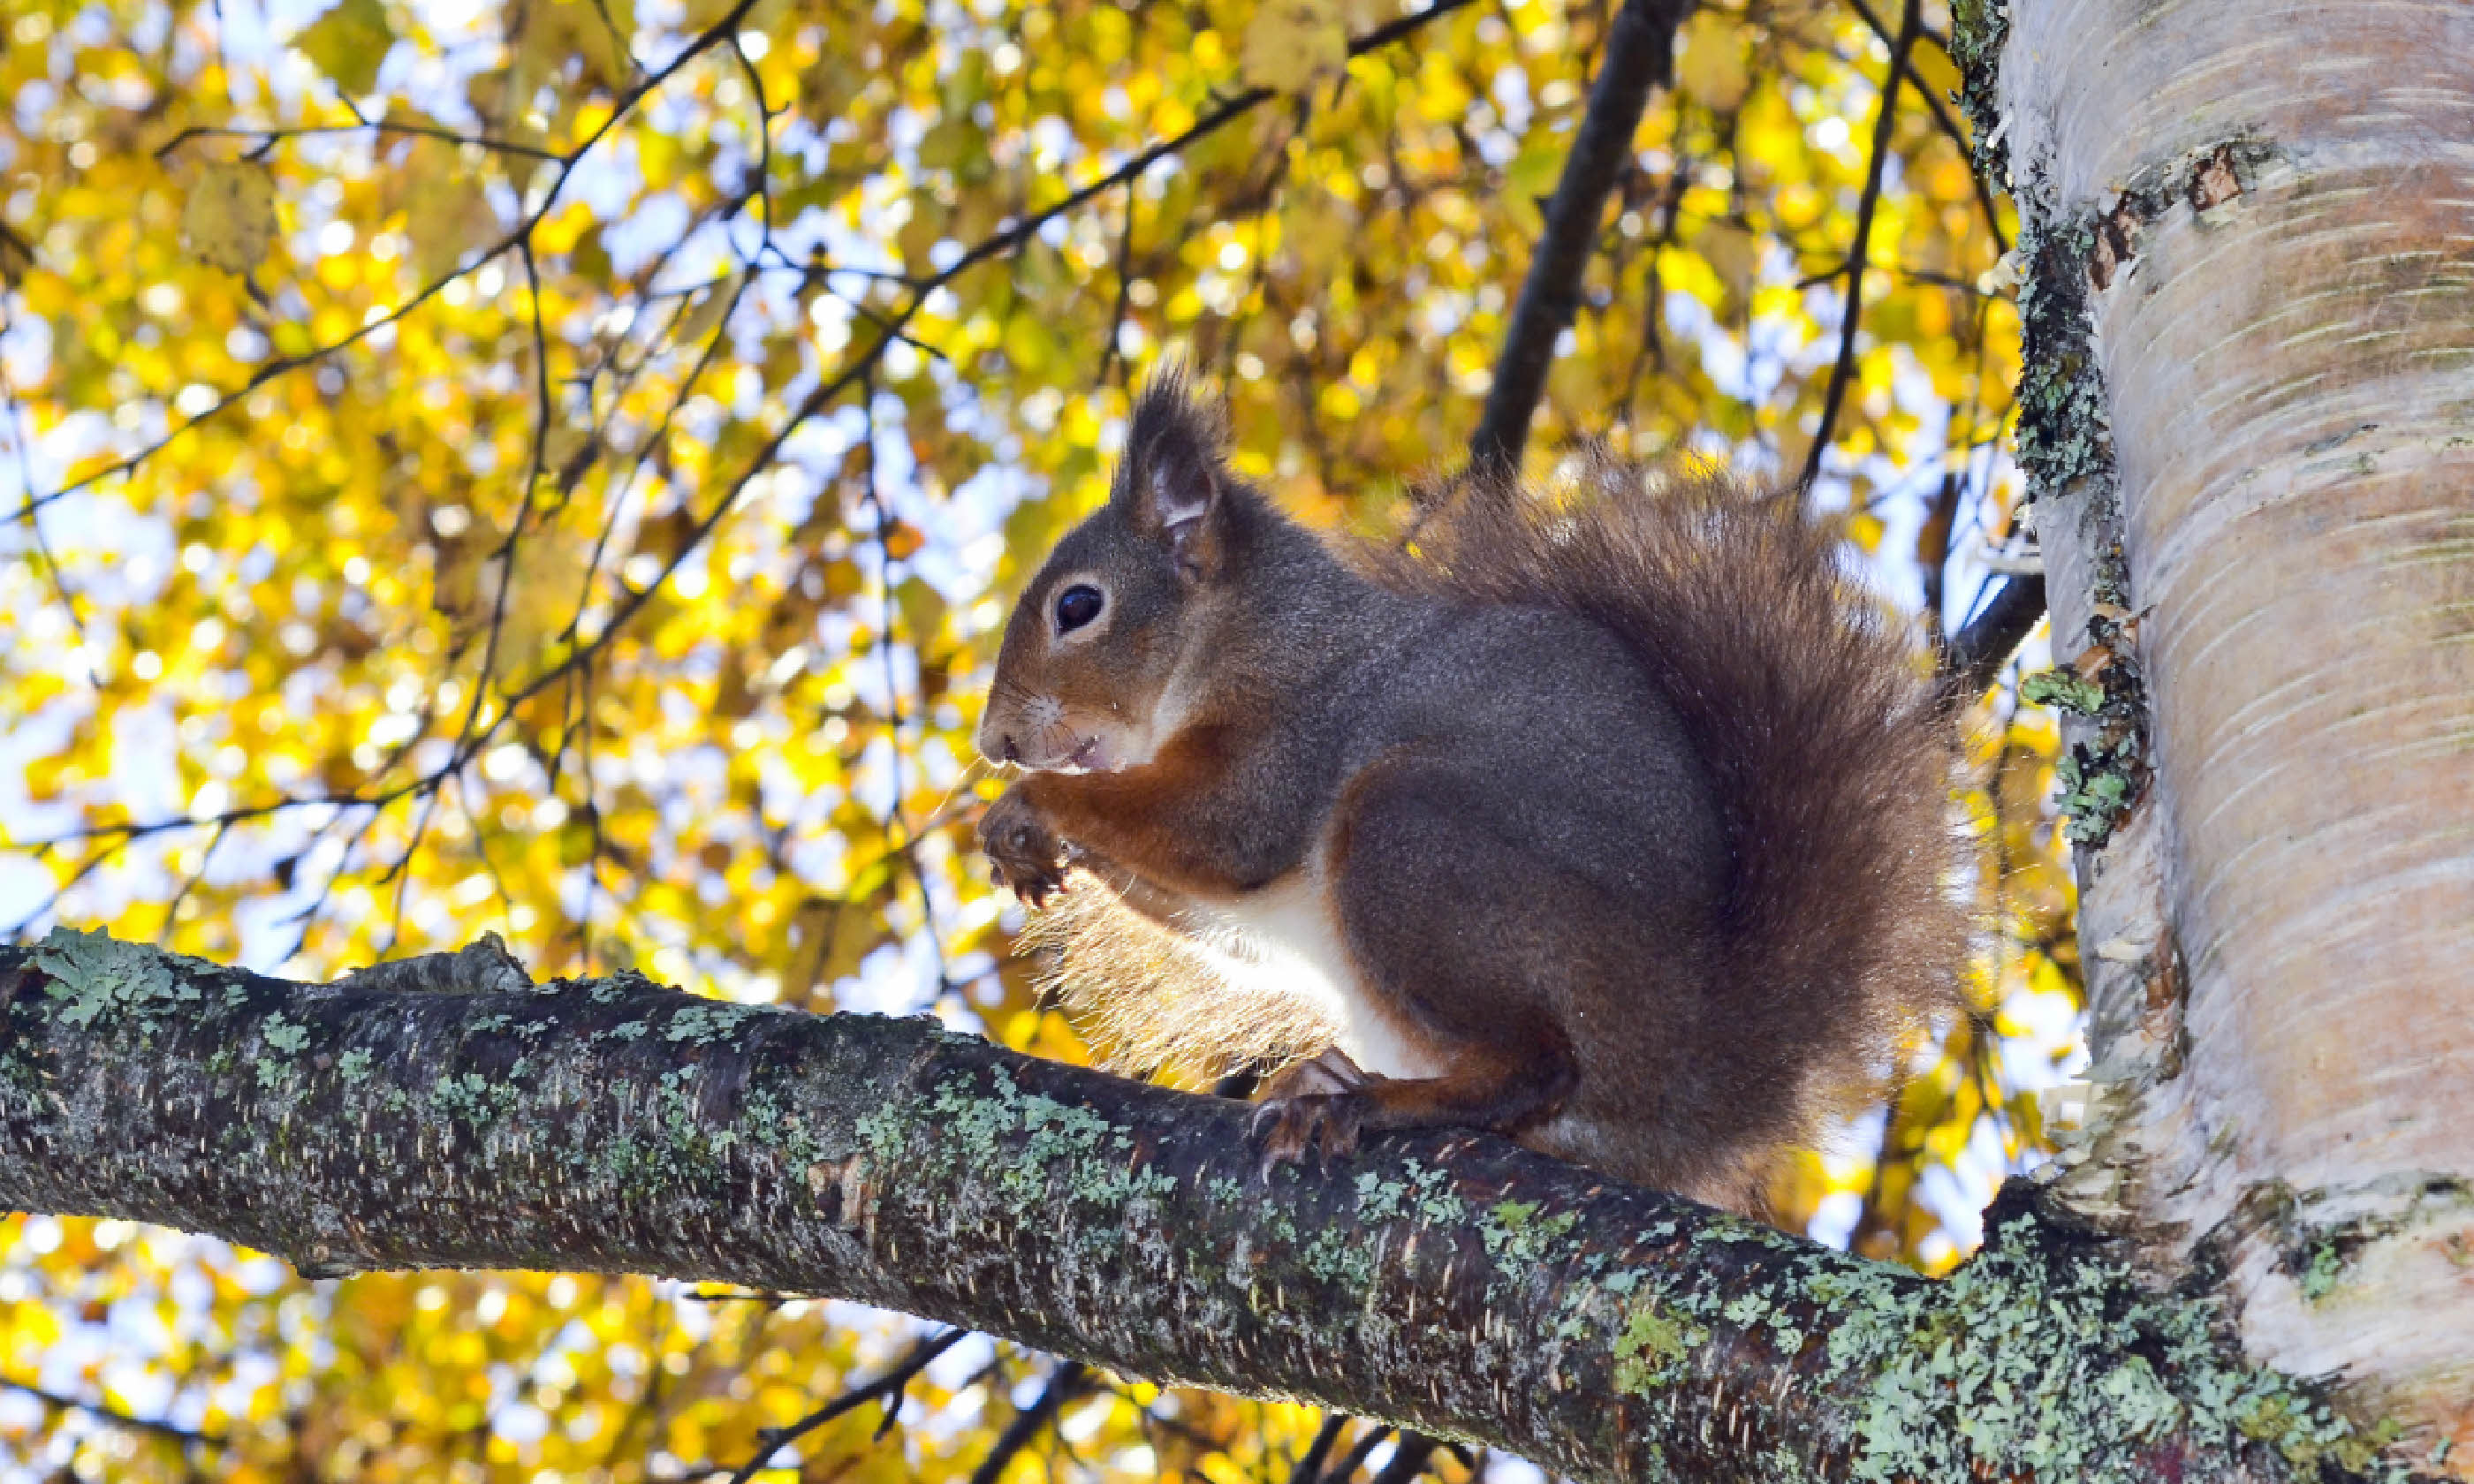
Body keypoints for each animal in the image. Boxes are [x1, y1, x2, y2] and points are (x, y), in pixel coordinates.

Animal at [975, 371, 1959, 1207]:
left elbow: (1221, 830)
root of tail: (1707, 1053)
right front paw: (1030, 845)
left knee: (1537, 1066)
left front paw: (1029, 808)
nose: (995, 743)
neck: (1242, 630)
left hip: (1416, 850)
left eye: (1078, 608)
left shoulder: (1297, 726)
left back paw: (1365, 1102)